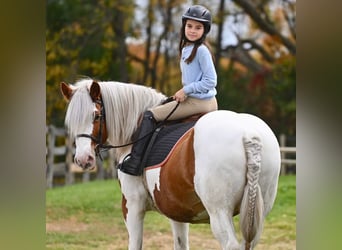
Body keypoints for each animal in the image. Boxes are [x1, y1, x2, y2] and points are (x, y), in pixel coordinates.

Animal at [60, 78, 280, 250]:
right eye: (71, 122)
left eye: (96, 115)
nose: (83, 160)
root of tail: (247, 133)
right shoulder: (177, 212)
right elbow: (181, 244)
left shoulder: (132, 205)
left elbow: (136, 244)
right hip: (257, 212)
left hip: (219, 212)